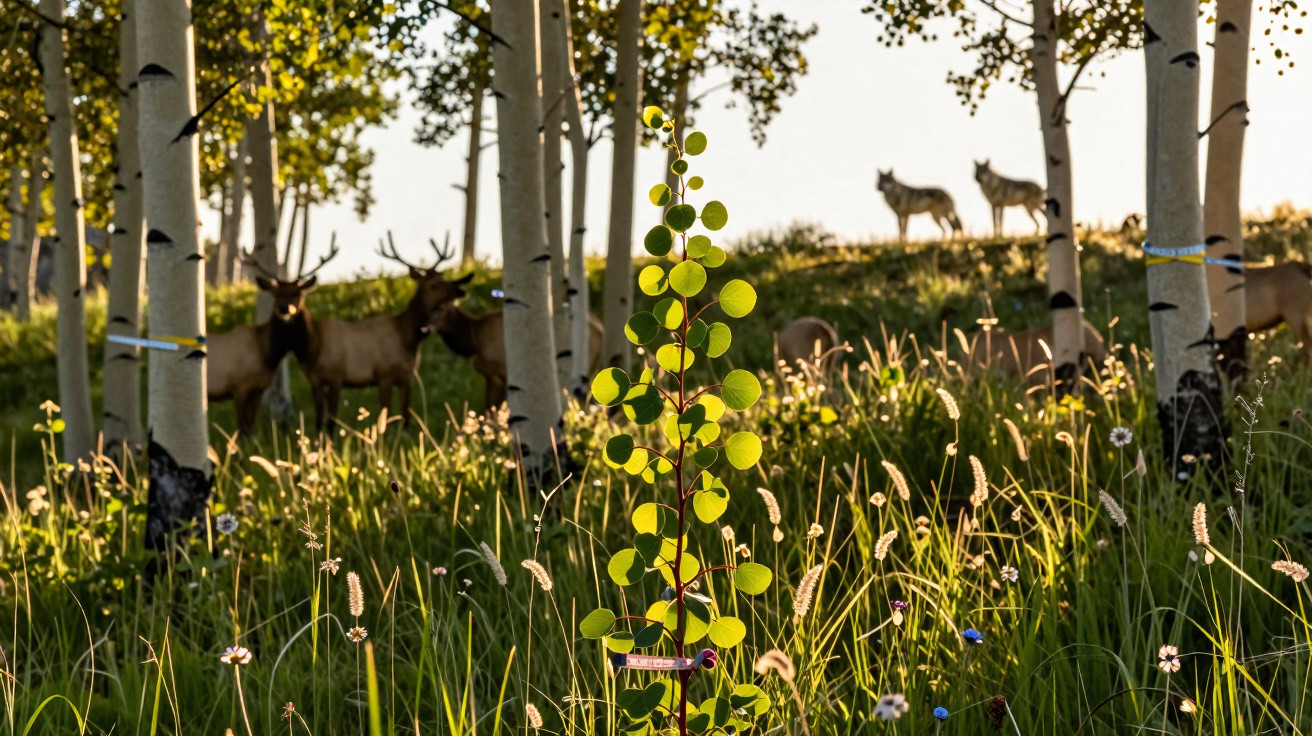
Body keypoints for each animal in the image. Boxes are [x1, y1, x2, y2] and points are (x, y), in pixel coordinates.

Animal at [206, 239, 340, 435]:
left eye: (298, 293)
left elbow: (250, 429)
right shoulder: (239, 385)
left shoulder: (258, 388)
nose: (285, 309)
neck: (267, 354)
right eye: (276, 294)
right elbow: (242, 429)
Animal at [298, 233, 471, 430]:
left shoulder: (407, 376)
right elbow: (385, 418)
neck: (408, 339)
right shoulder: (383, 375)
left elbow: (405, 416)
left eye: (445, 279)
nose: (459, 290)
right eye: (433, 285)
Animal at [427, 301, 605, 409]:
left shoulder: (503, 371)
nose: (426, 326)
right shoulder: (491, 376)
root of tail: (601, 330)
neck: (474, 340)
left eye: (441, 309)